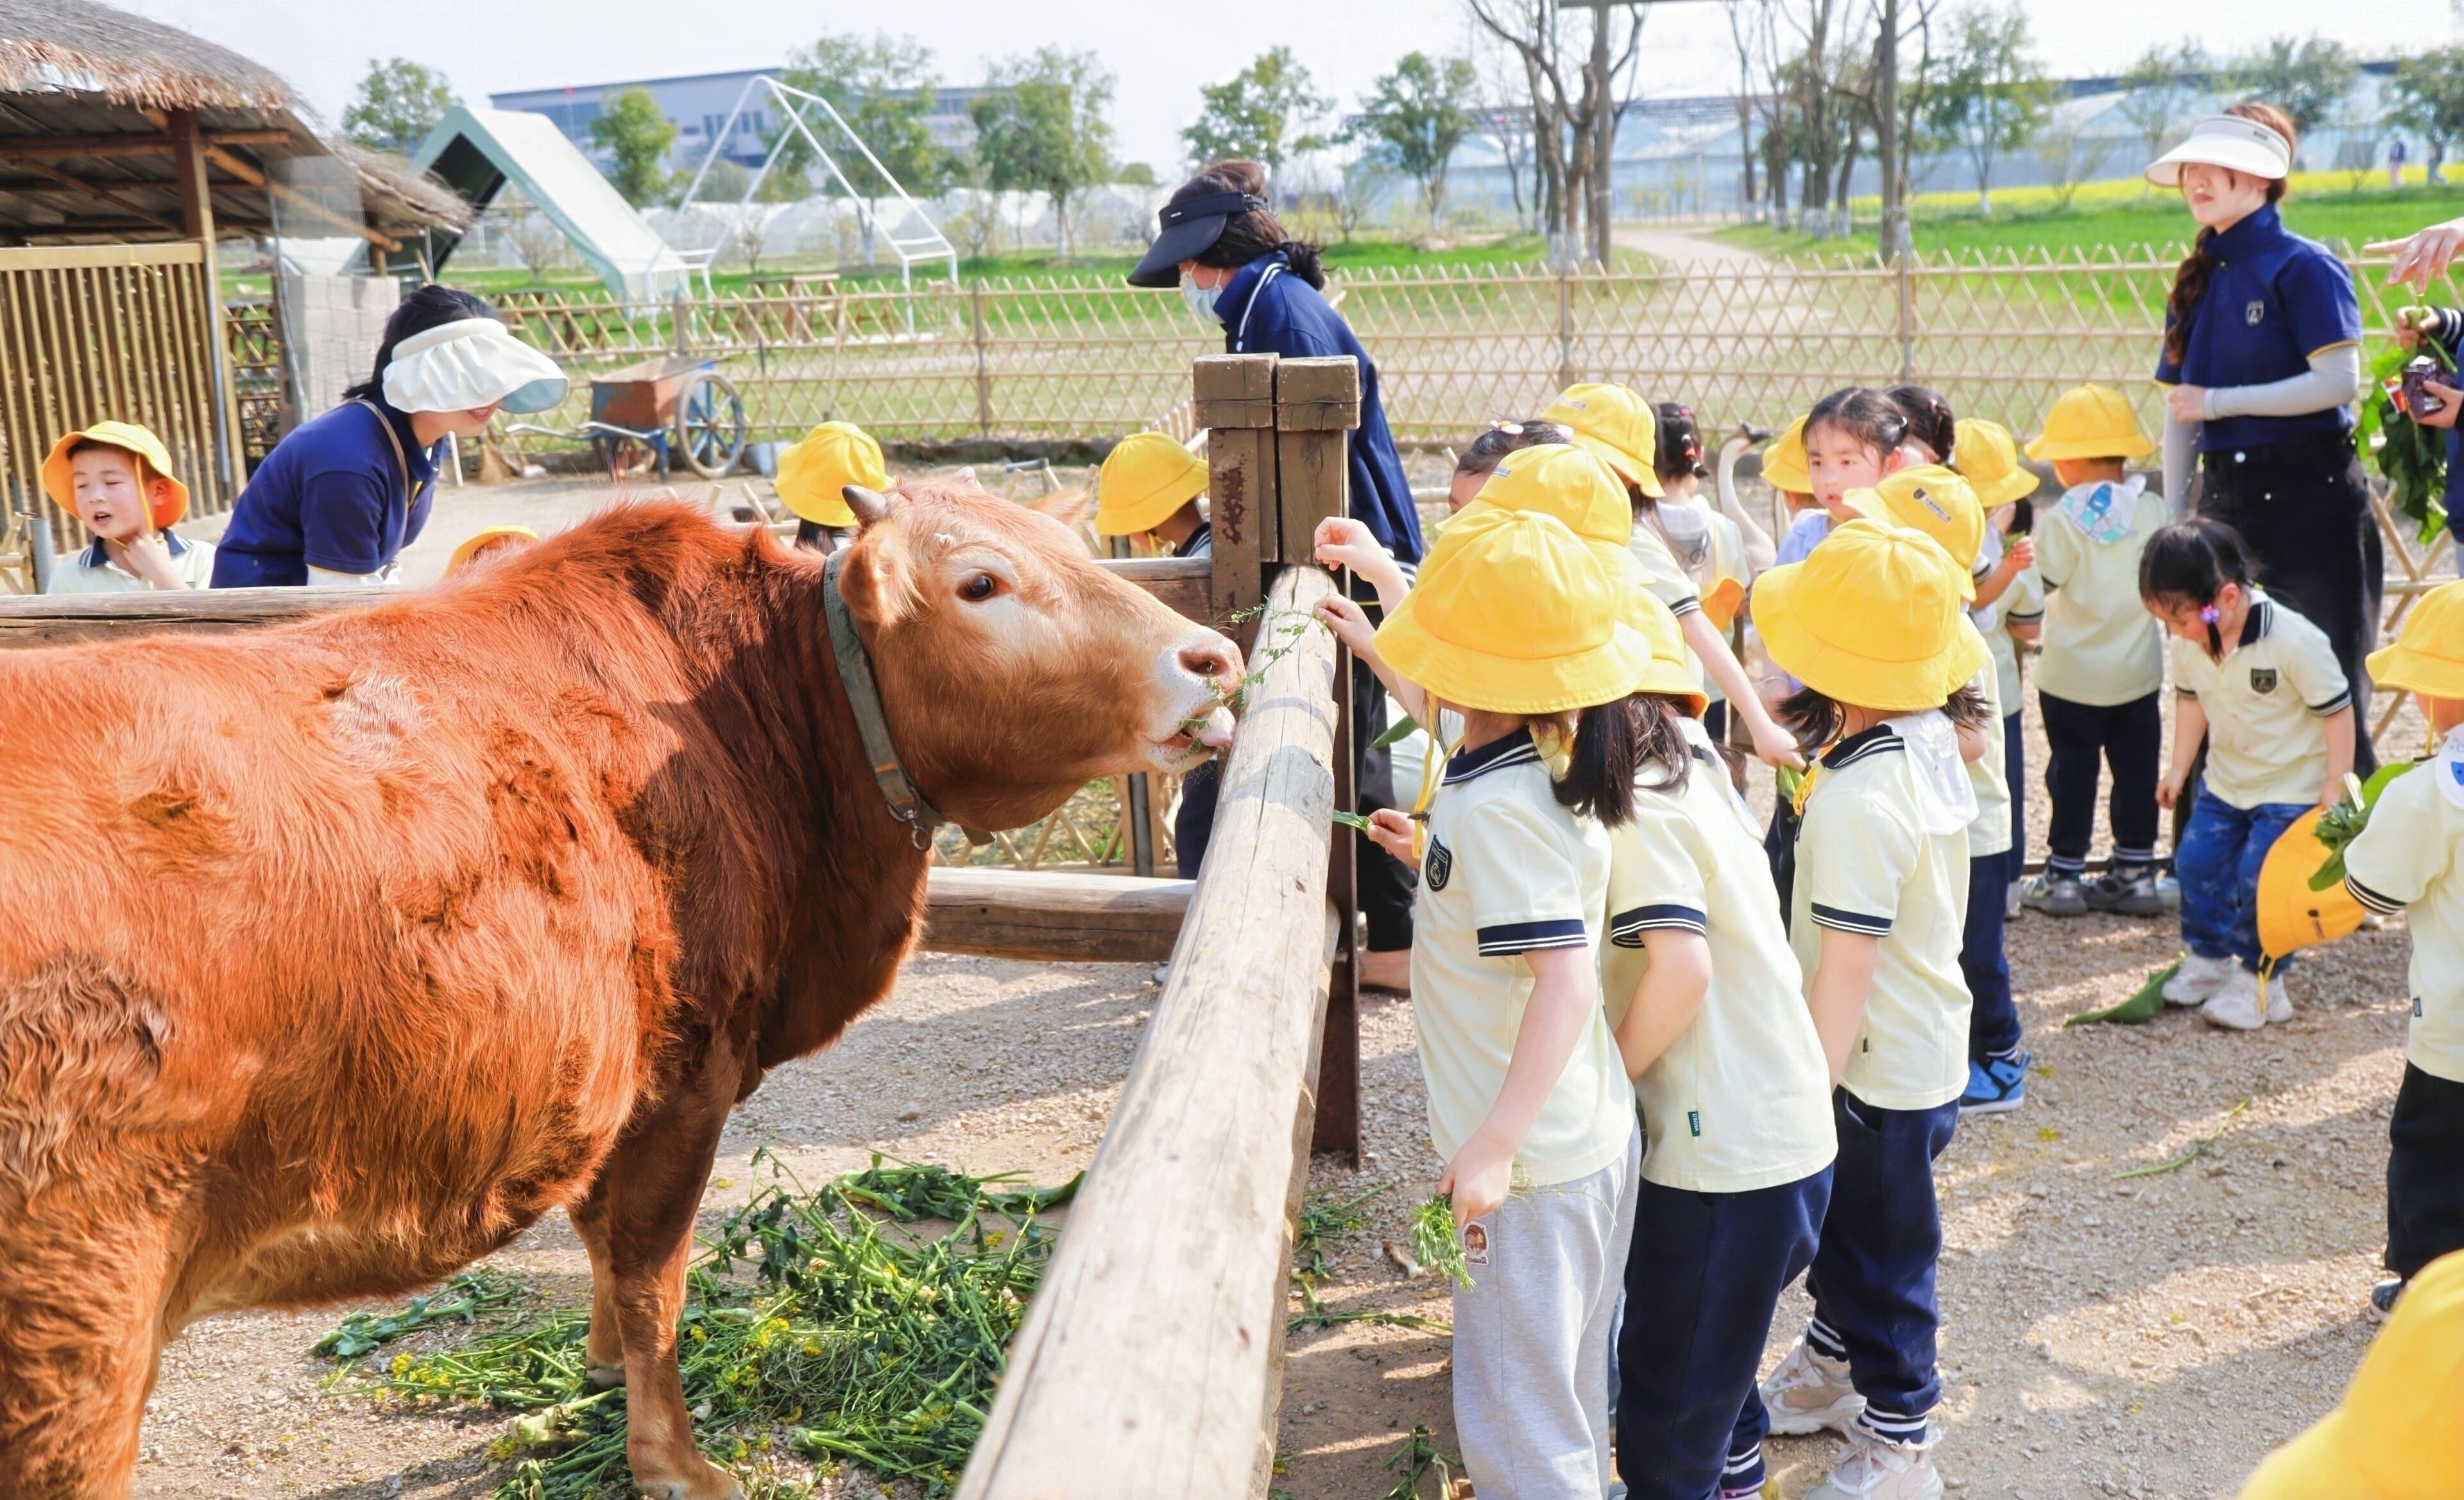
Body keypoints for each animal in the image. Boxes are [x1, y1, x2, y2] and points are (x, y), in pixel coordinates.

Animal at [0, 480, 1242, 1500]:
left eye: (1073, 550)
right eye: (982, 581)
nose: (1213, 660)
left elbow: (609, 1259)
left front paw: (598, 1372)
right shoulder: (682, 1077)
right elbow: (653, 1280)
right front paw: (677, 1462)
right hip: (78, 1331)